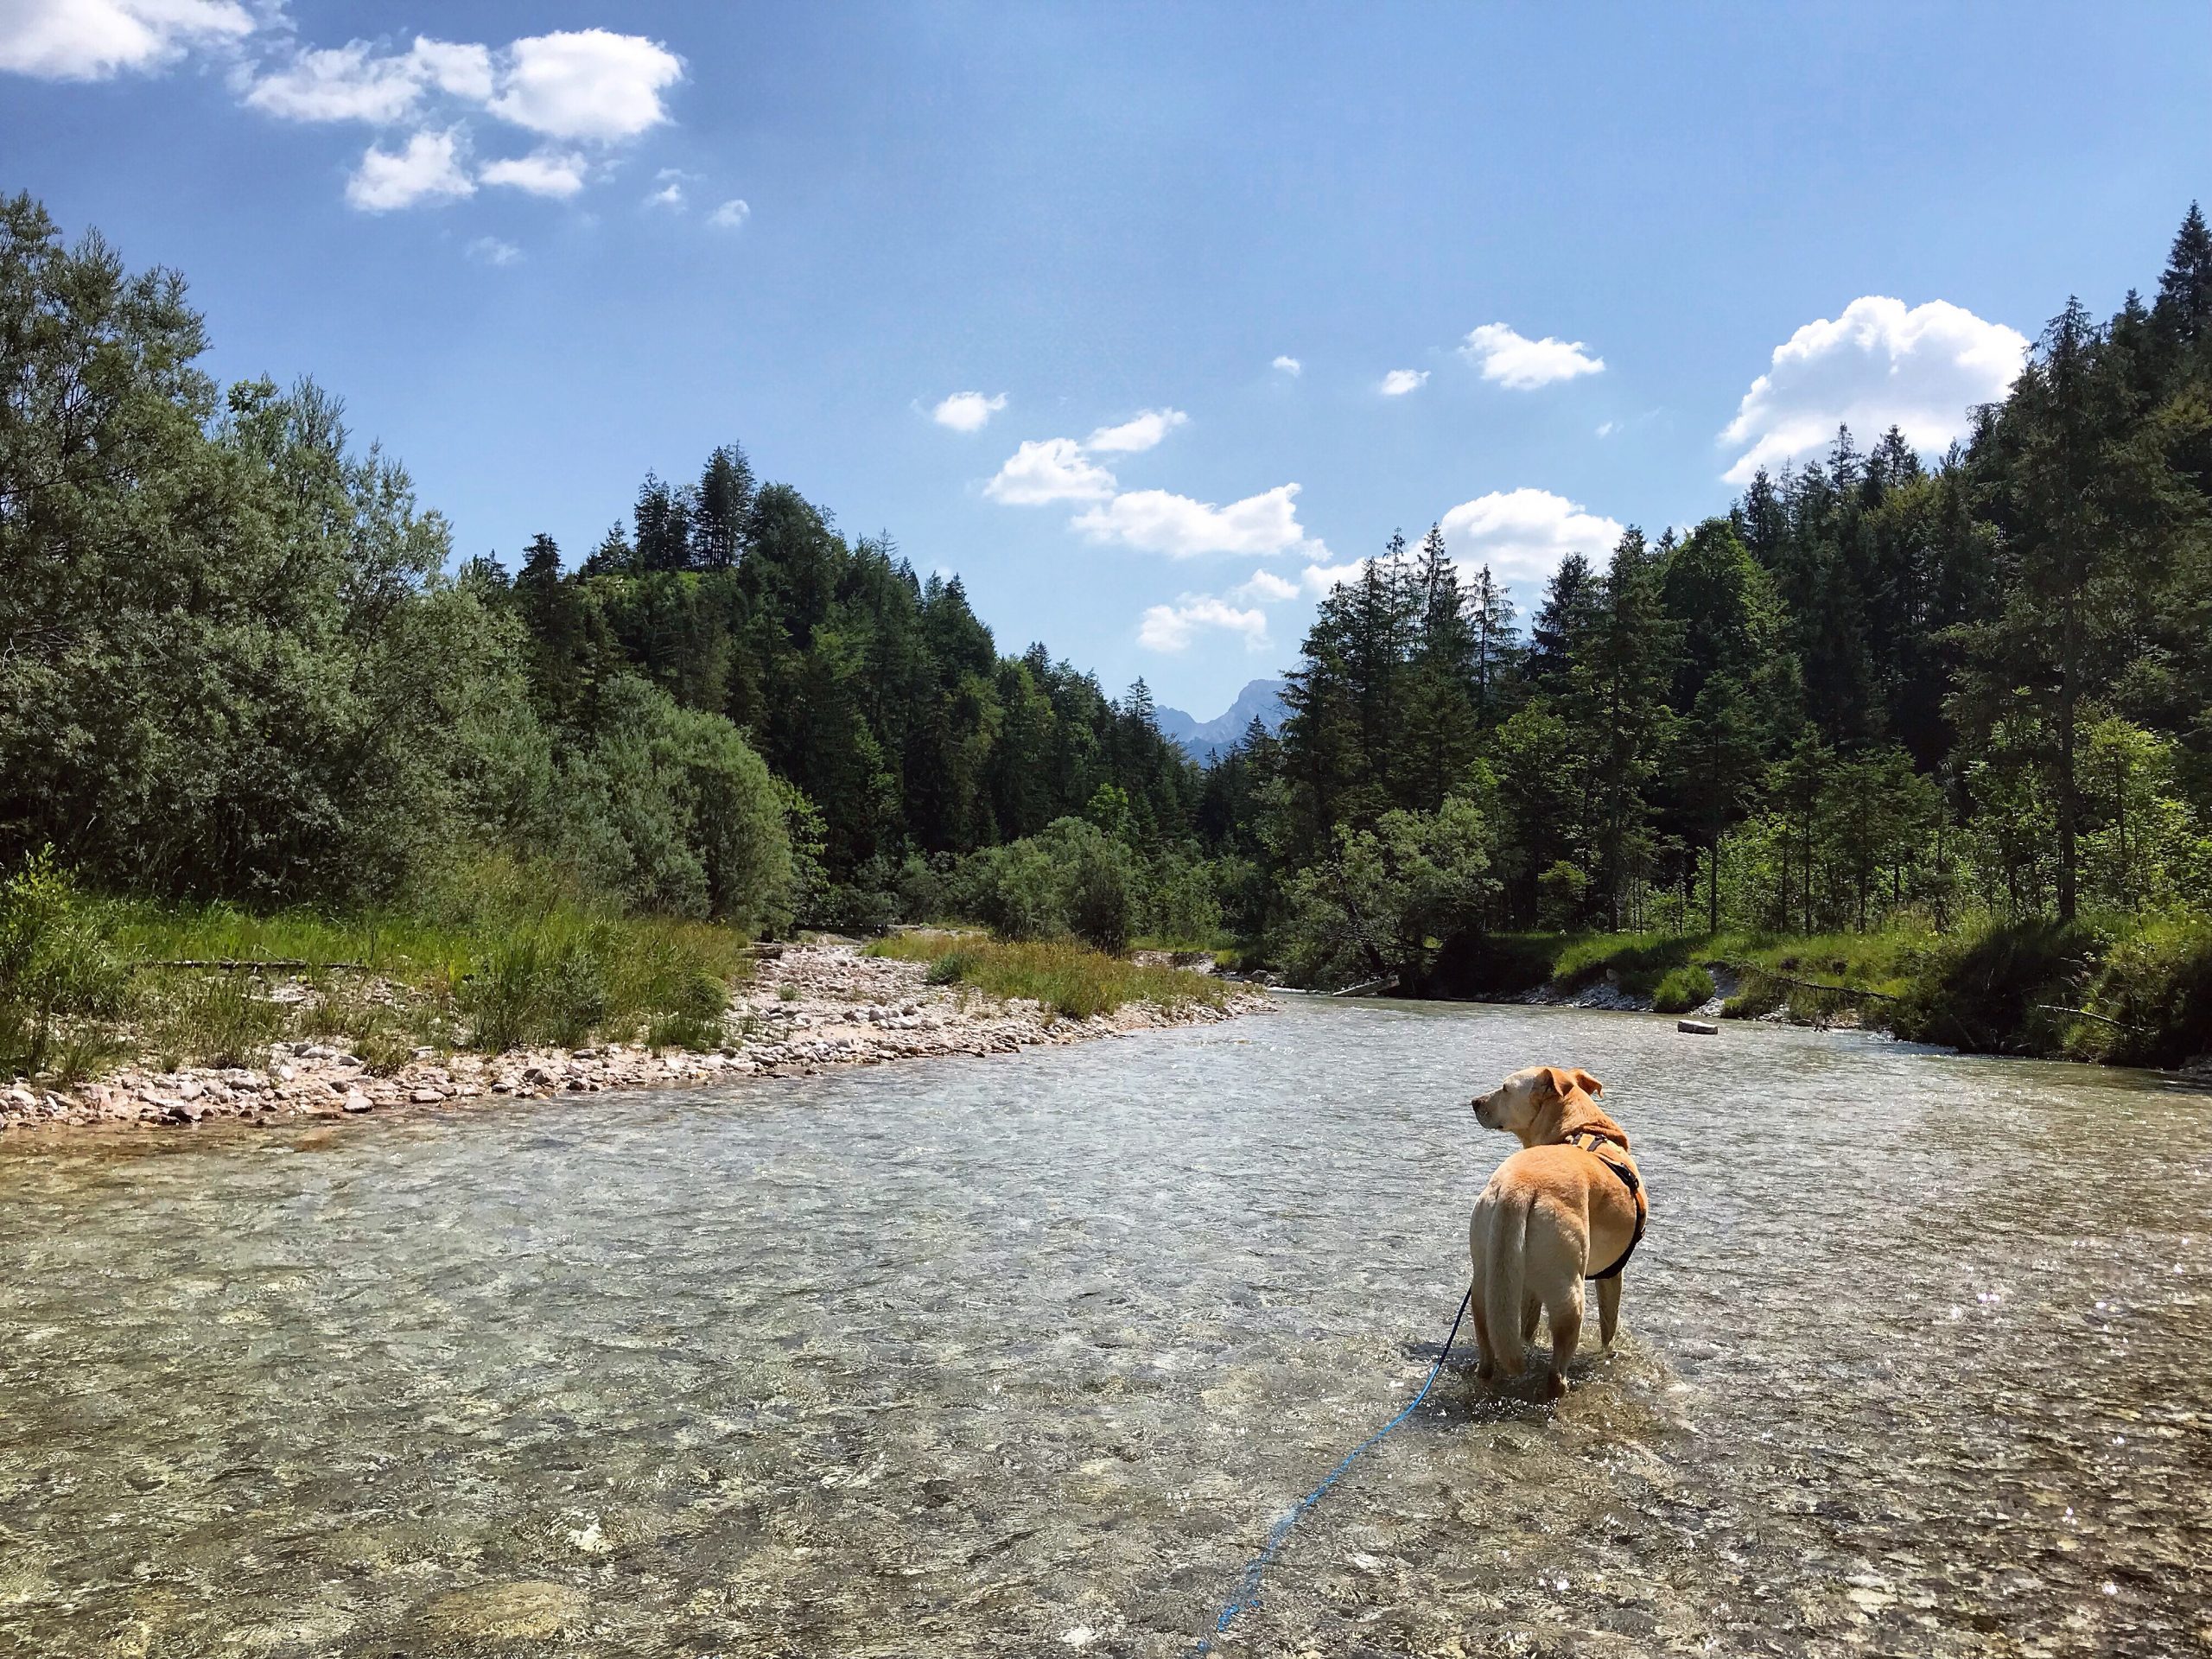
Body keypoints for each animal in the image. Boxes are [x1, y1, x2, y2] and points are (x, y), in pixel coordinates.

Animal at [1468, 1065, 1645, 1407]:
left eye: (1505, 1089)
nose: (1474, 1102)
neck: (1582, 1129)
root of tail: (1519, 1185)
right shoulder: (1613, 1273)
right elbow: (1609, 1329)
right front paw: (1609, 1354)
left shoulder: (1526, 1286)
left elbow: (1528, 1327)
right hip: (1570, 1296)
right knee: (1556, 1375)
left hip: (1486, 1288)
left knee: (1488, 1358)